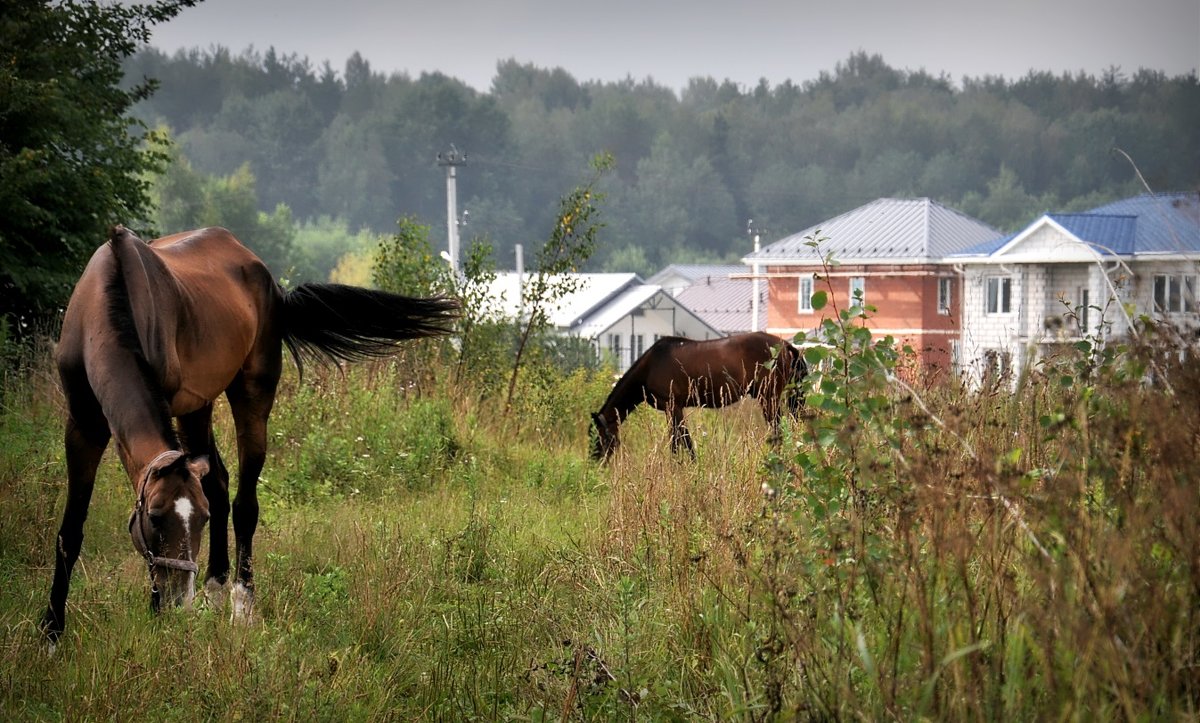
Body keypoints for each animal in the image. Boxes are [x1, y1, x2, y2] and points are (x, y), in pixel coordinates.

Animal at [43, 225, 458, 643]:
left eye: (201, 520)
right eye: (156, 517)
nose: (178, 603)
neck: (108, 308)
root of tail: (266, 277)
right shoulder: (82, 426)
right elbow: (69, 532)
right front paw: (51, 632)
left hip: (249, 395)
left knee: (244, 503)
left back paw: (240, 603)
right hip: (197, 407)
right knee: (218, 482)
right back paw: (214, 592)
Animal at [590, 331, 806, 458]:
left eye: (598, 436)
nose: (595, 463)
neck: (651, 365)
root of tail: (785, 345)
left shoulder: (672, 407)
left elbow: (679, 441)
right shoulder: (674, 409)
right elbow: (682, 440)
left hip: (768, 399)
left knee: (778, 430)